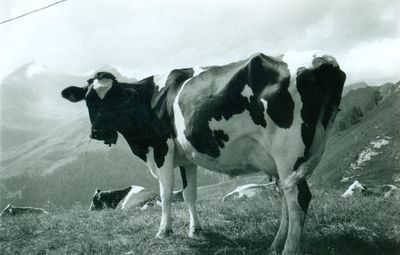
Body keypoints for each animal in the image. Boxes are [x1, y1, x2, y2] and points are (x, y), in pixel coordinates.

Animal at [61, 52, 346, 255]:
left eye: (115, 97)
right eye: (88, 99)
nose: (98, 131)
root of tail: (323, 61)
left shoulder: (162, 148)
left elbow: (166, 194)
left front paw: (164, 231)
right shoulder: (187, 158)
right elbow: (189, 195)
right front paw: (195, 229)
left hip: (289, 148)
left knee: (298, 196)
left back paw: (288, 248)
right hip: (288, 157)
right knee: (287, 195)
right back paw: (275, 244)